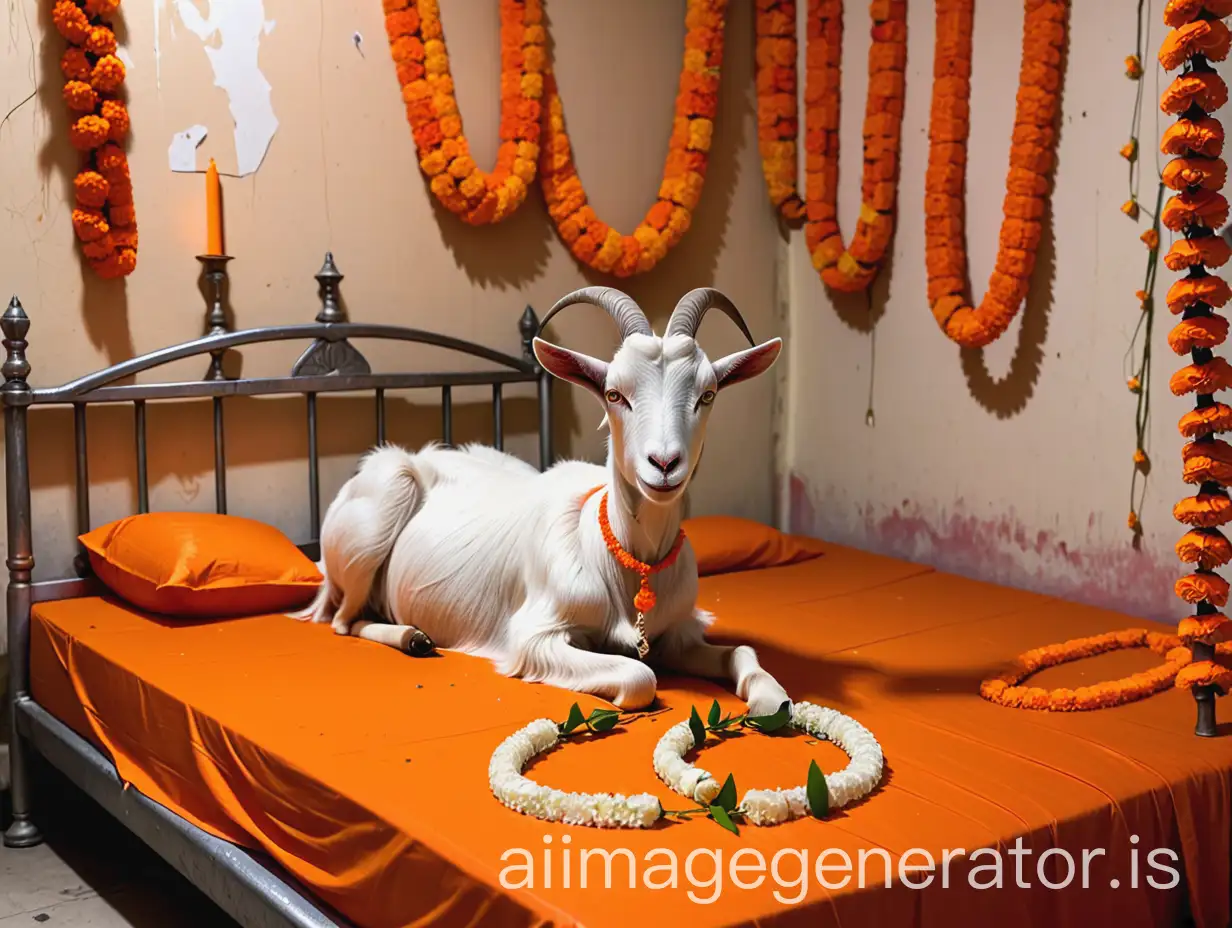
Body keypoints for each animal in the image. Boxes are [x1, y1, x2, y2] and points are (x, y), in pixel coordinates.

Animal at [299, 289, 798, 714]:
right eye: (614, 394)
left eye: (707, 394)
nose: (664, 464)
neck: (622, 557)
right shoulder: (535, 635)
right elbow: (638, 676)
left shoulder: (675, 635)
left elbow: (741, 651)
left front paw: (772, 699)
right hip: (380, 511)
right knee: (342, 620)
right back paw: (412, 637)